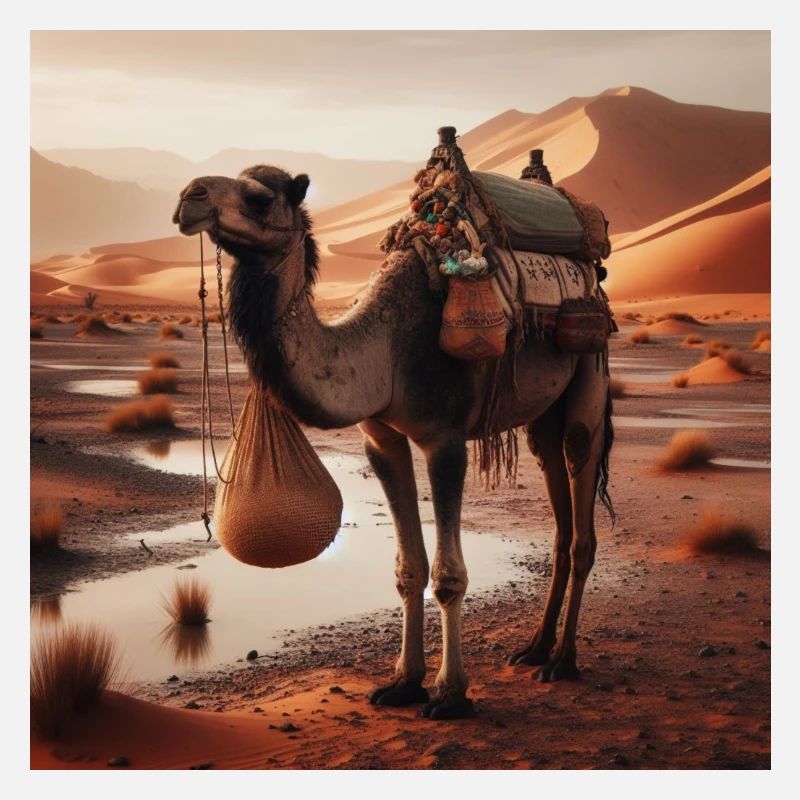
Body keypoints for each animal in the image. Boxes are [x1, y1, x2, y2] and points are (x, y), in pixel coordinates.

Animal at [172, 164, 614, 720]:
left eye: (259, 198)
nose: (189, 197)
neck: (383, 351)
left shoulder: (444, 438)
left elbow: (447, 576)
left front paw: (450, 694)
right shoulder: (381, 439)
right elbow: (409, 568)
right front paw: (404, 683)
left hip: (590, 365)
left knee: (581, 503)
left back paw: (562, 659)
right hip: (542, 413)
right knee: (555, 498)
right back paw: (534, 648)